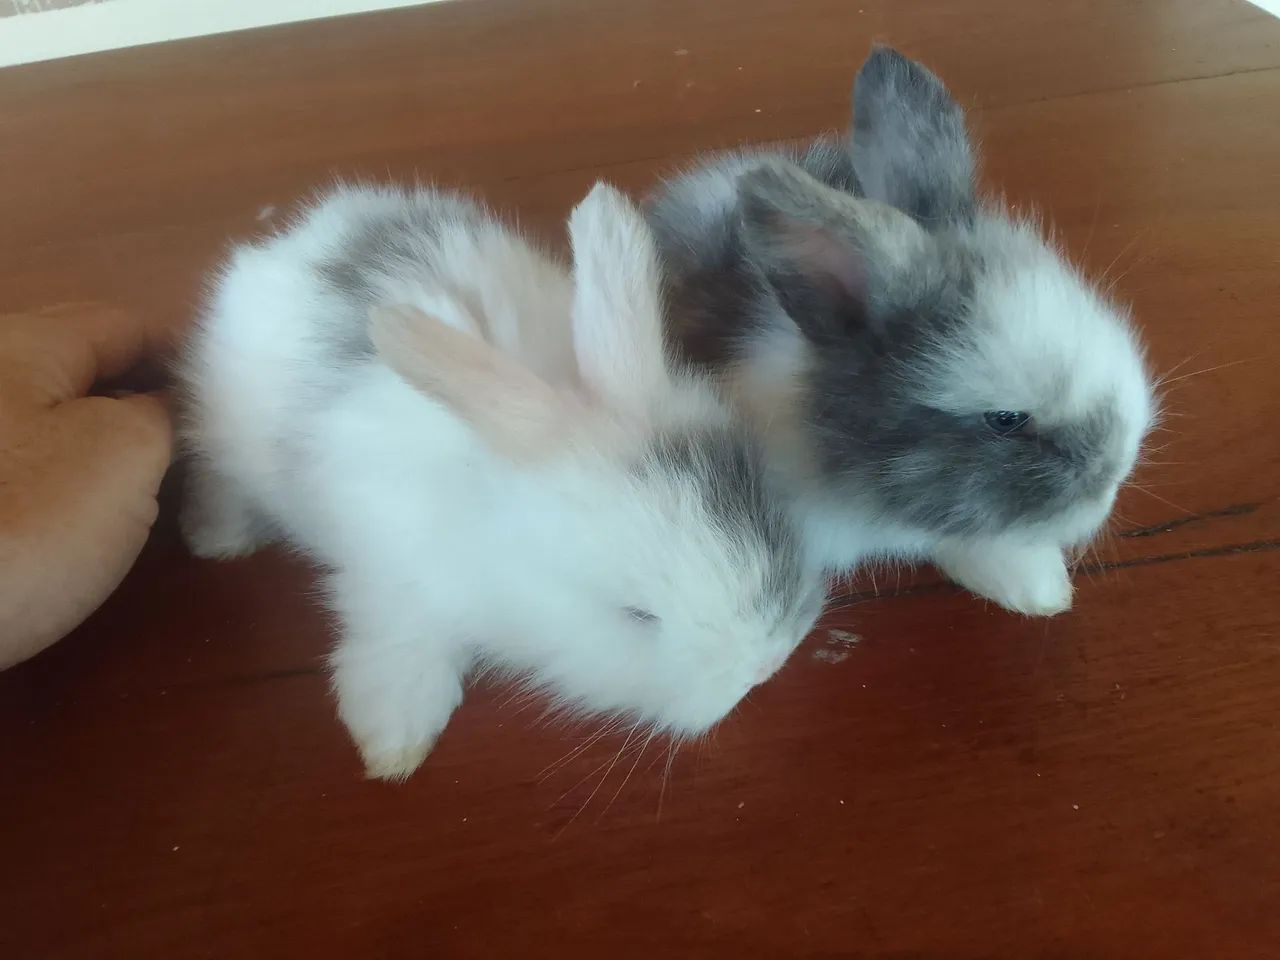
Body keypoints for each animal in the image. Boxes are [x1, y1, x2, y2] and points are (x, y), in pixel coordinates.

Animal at [177, 180, 826, 781]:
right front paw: (394, 746)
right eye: (636, 616)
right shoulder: (393, 587)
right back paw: (219, 539)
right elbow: (397, 652)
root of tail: (292, 243)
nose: (766, 663)